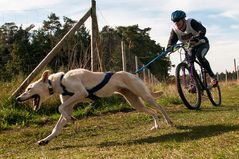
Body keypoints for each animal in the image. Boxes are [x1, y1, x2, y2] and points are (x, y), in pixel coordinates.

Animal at [17, 68, 174, 145]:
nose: (18, 98)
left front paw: (72, 119)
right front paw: (45, 140)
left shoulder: (81, 92)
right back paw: (156, 126)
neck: (60, 81)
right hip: (134, 103)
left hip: (144, 96)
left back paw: (169, 121)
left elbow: (60, 108)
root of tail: (134, 74)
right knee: (152, 111)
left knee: (160, 107)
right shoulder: (69, 104)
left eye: (29, 88)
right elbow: (57, 126)